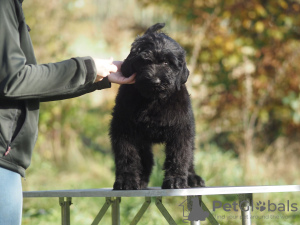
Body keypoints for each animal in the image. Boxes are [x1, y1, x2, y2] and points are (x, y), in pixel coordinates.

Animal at [109, 22, 205, 189]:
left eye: (167, 63)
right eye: (144, 61)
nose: (155, 81)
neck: (153, 100)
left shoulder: (181, 129)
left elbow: (180, 155)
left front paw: (175, 180)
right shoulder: (124, 129)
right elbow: (127, 156)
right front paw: (126, 181)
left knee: (189, 157)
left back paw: (193, 178)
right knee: (146, 159)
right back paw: (141, 180)